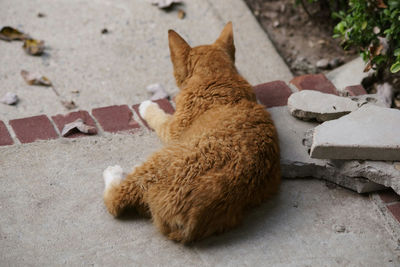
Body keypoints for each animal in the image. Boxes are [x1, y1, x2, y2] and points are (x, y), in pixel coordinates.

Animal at [103, 23, 280, 244]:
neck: (217, 76)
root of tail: (191, 220)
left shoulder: (172, 130)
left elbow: (158, 117)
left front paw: (147, 106)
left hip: (158, 160)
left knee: (115, 201)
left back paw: (113, 174)